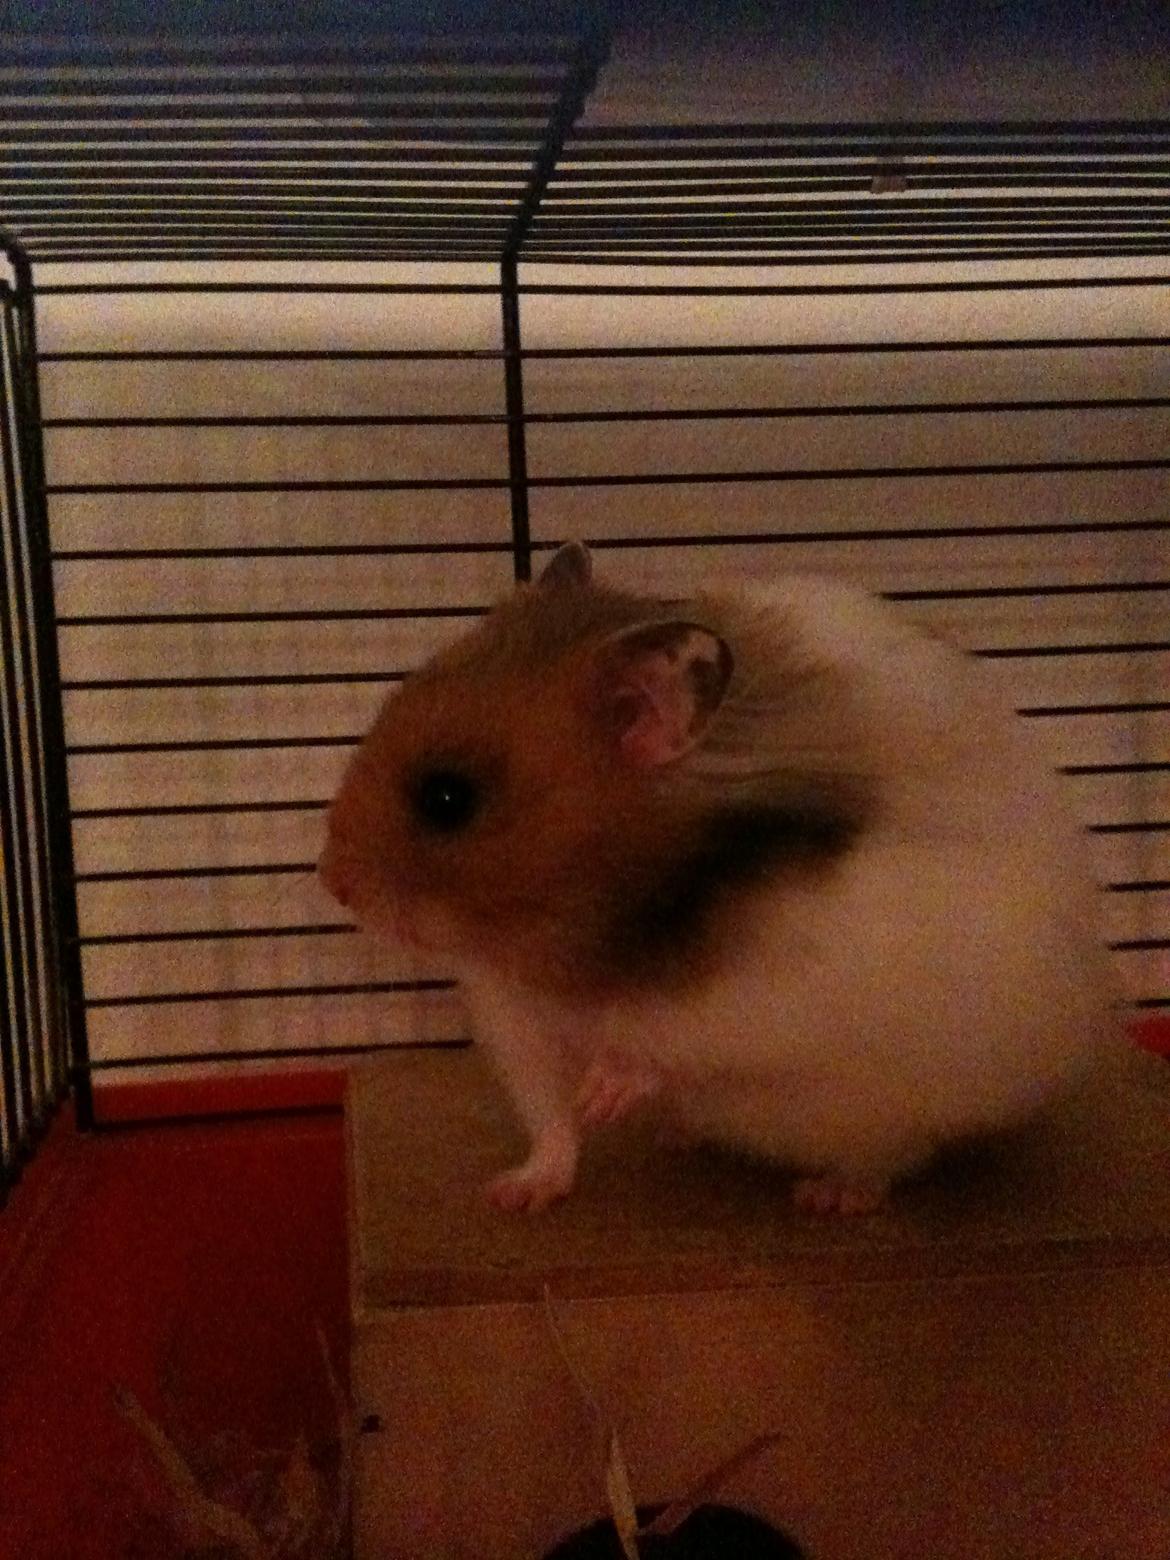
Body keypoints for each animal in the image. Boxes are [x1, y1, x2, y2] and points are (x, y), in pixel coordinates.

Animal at [319, 542, 1119, 1215]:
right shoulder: (521, 1029)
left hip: (914, 1090)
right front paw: (515, 1194)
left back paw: (831, 1196)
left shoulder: (767, 999)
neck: (583, 937)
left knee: (890, 1154)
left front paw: (606, 1093)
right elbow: (552, 1128)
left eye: (447, 799)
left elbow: (669, 1050)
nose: (331, 882)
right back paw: (679, 1137)